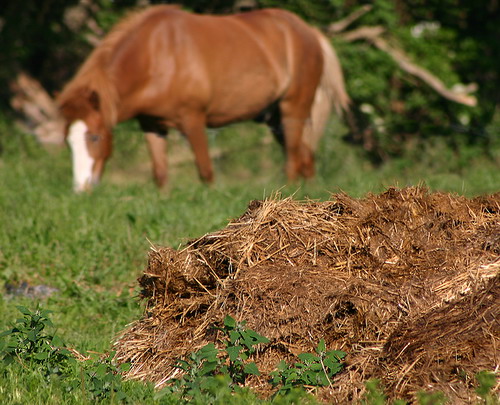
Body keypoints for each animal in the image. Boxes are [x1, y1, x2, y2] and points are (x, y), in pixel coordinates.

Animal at [56, 4, 350, 191]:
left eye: (95, 137)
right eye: (68, 142)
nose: (81, 188)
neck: (156, 56)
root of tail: (309, 31)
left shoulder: (193, 120)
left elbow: (206, 172)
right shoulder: (152, 125)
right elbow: (160, 174)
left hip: (293, 109)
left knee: (292, 159)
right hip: (274, 117)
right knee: (305, 156)